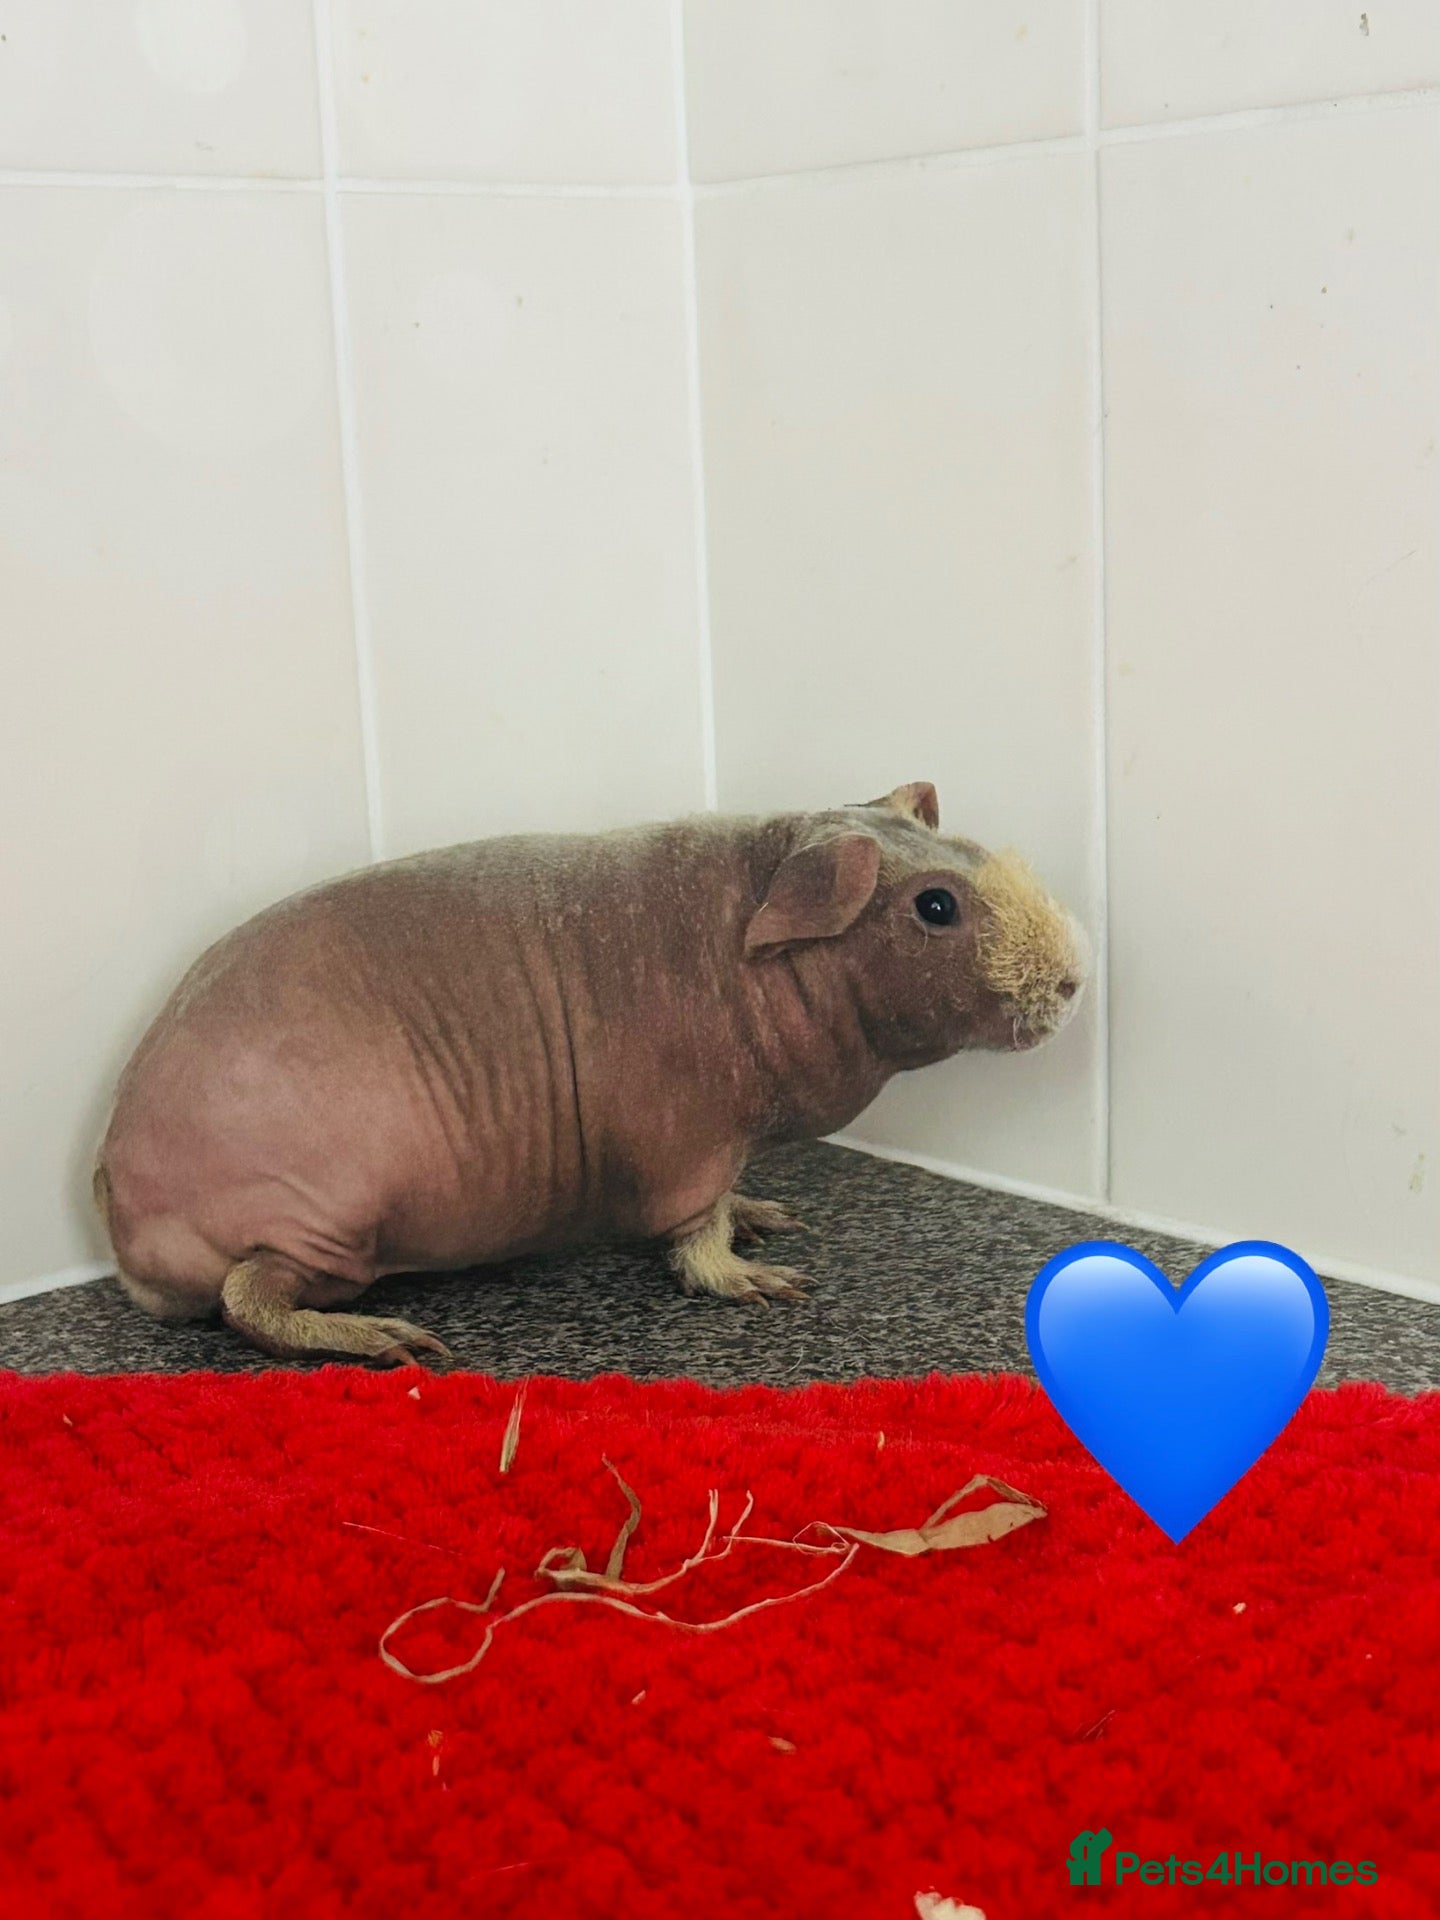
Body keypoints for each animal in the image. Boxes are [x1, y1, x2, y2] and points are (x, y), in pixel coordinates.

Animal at [92, 782, 1088, 1367]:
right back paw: (395, 1343)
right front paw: (768, 1280)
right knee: (246, 1299)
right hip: (323, 1227)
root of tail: (118, 1206)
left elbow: (732, 1202)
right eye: (936, 907)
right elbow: (697, 1235)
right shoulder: (688, 1143)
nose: (1074, 980)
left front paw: (772, 1218)